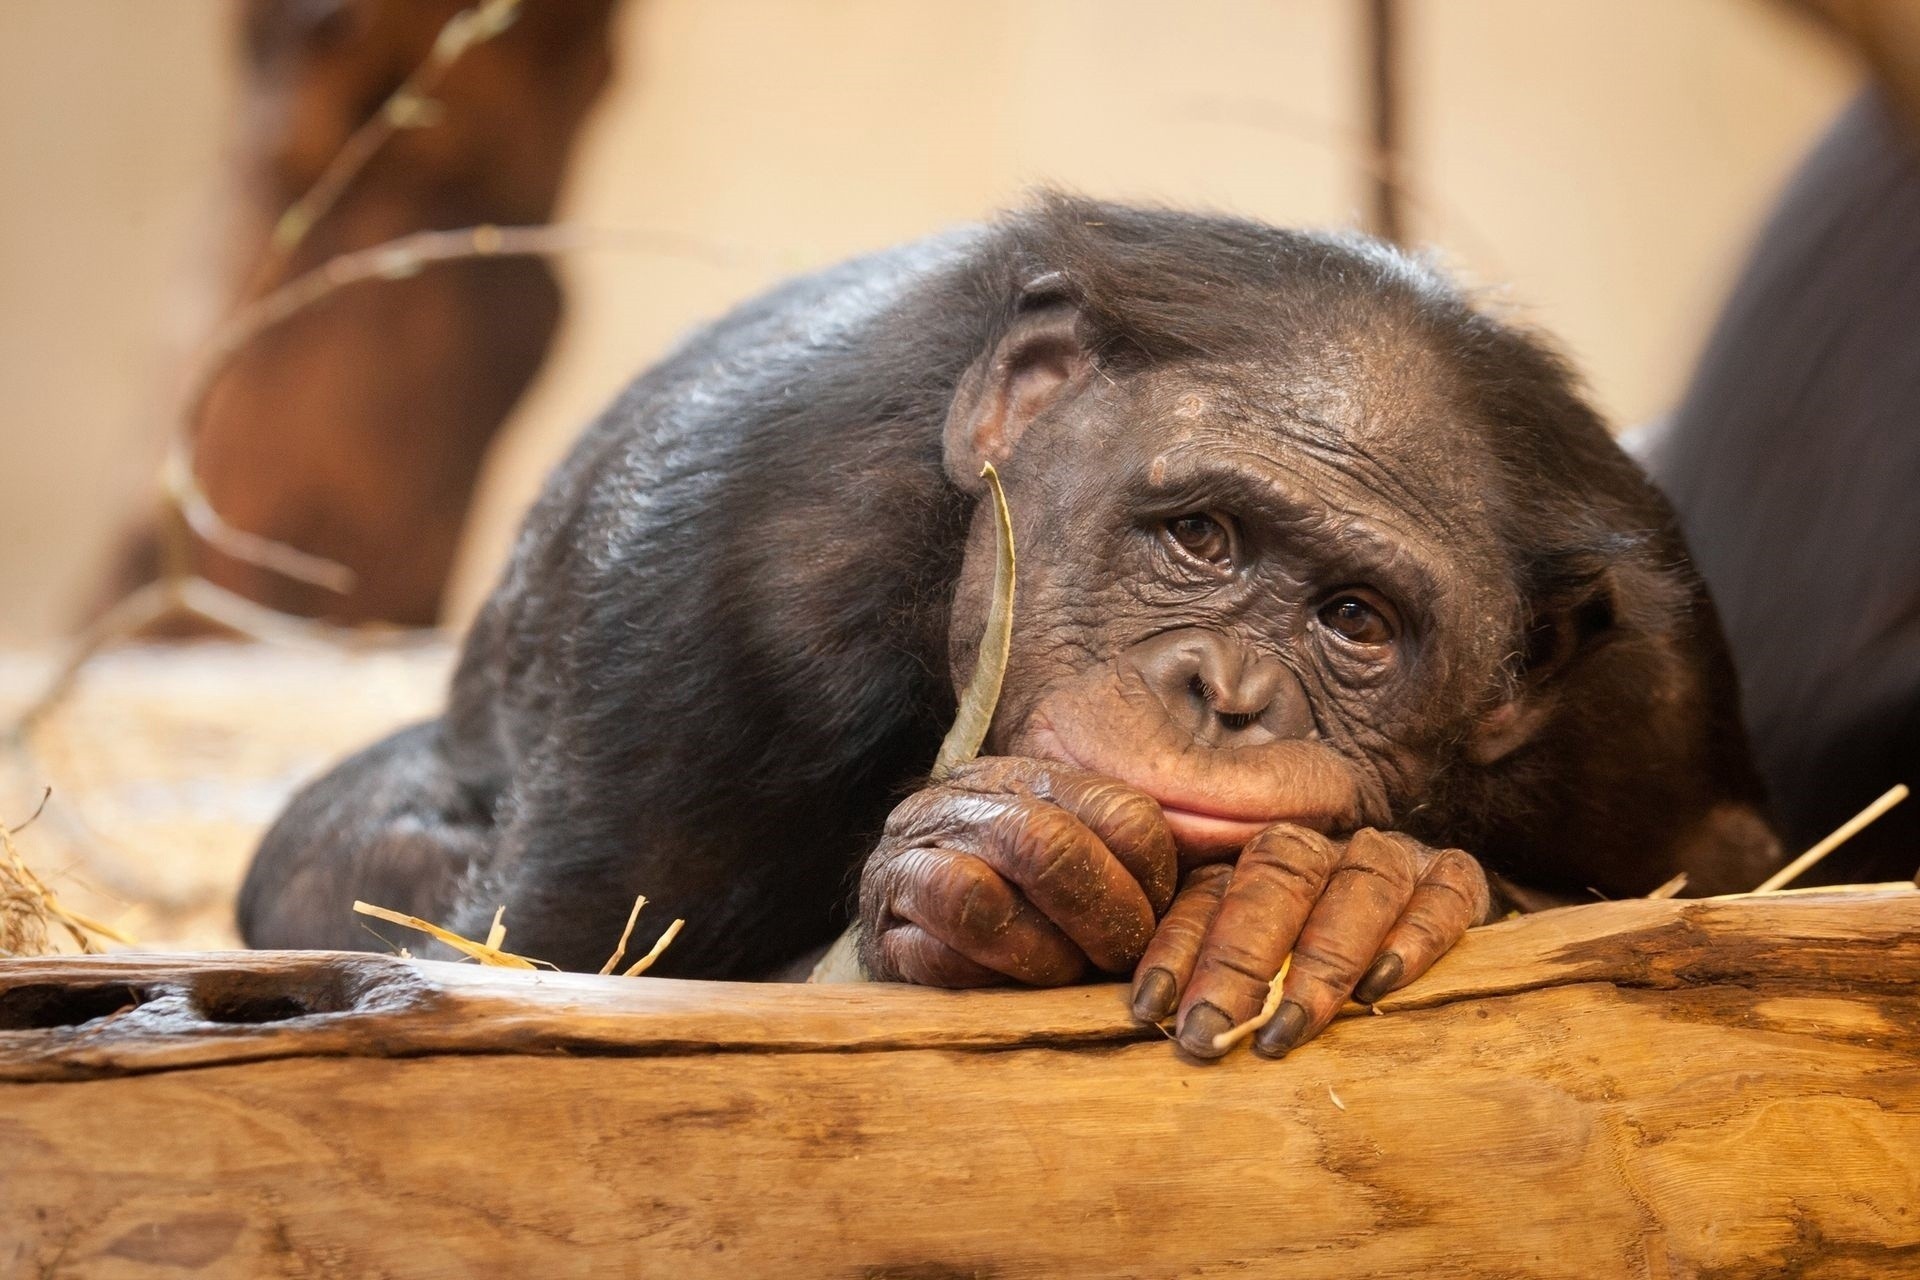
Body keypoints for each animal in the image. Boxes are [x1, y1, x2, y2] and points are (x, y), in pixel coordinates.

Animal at [239, 194, 1781, 1060]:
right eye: (1201, 538)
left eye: (1355, 618)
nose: (1227, 689)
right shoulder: (712, 594)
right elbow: (544, 964)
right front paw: (985, 859)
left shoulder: (1648, 709)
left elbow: (1725, 889)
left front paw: (1355, 889)